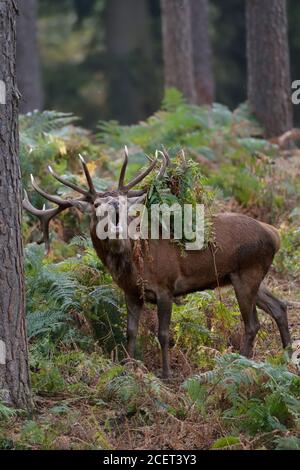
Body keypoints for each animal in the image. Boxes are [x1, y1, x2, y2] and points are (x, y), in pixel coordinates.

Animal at [22, 149, 290, 380]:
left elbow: (162, 334)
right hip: (250, 276)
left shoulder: (166, 287)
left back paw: (240, 363)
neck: (132, 269)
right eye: (97, 206)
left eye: (124, 203)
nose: (116, 220)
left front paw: (166, 374)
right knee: (279, 306)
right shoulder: (131, 293)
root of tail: (275, 234)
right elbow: (130, 332)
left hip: (247, 272)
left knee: (252, 323)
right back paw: (287, 355)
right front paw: (128, 367)